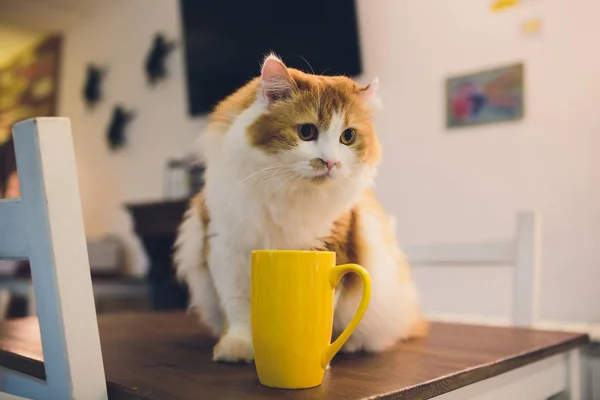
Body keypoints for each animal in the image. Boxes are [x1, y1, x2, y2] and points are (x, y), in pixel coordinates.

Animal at [175, 54, 426, 364]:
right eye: (307, 132)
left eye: (348, 137)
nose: (331, 163)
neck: (286, 191)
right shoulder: (226, 248)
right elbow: (237, 309)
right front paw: (238, 347)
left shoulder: (330, 246)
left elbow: (326, 312)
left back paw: (352, 345)